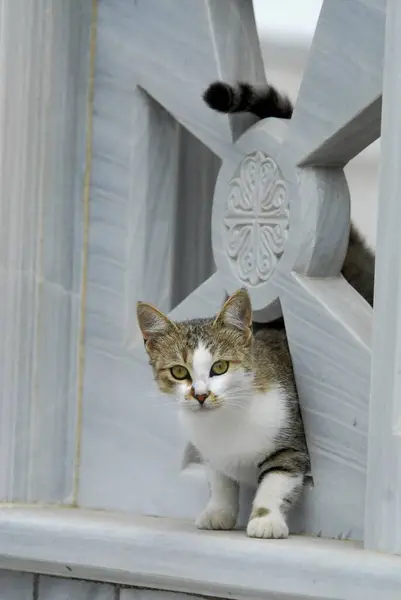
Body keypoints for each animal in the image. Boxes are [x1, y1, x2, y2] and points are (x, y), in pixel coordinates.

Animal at [137, 288, 310, 536]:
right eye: (178, 371)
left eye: (220, 367)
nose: (200, 395)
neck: (226, 417)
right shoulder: (210, 452)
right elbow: (220, 481)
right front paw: (218, 512)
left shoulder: (291, 441)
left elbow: (277, 479)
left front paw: (266, 520)